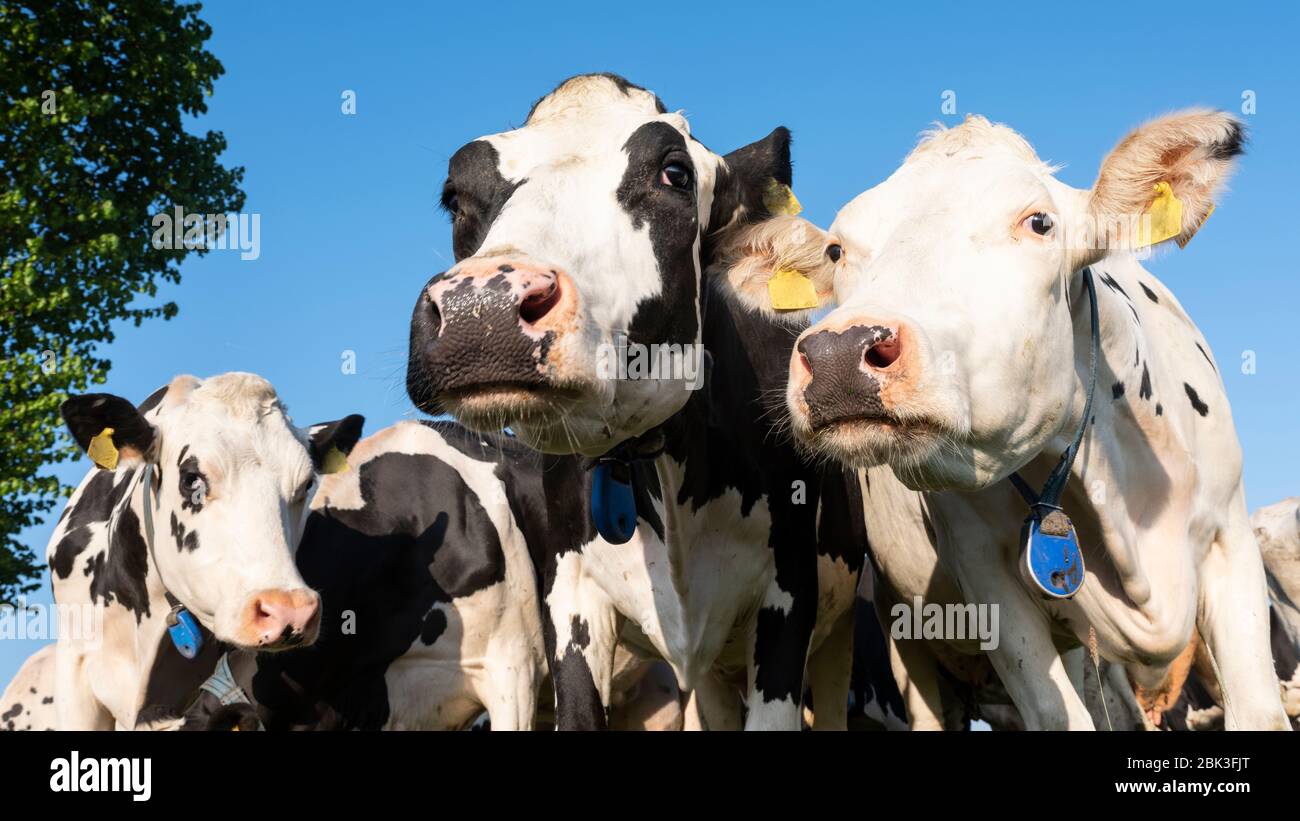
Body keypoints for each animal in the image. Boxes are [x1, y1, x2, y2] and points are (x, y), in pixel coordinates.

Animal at [405, 73, 866, 729]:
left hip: (841, 634)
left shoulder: (790, 594)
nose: (481, 309)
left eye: (674, 172)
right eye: (456, 198)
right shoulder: (571, 595)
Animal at [730, 110, 1289, 729]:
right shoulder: (984, 573)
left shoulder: (1231, 536)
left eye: (1039, 222)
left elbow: (1260, 710)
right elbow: (1056, 714)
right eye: (835, 251)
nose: (837, 353)